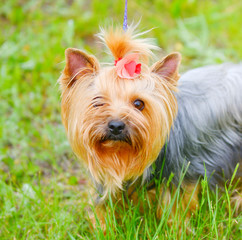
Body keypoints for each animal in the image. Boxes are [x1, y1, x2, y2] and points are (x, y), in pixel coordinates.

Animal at [58, 24, 242, 227]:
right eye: (97, 102)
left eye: (139, 104)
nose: (116, 125)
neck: (121, 155)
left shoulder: (181, 175)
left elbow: (176, 209)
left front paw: (176, 227)